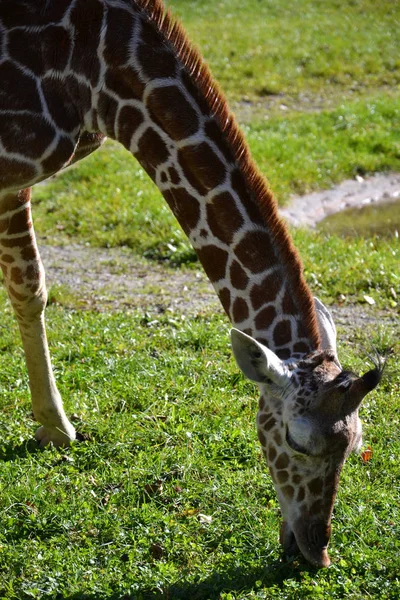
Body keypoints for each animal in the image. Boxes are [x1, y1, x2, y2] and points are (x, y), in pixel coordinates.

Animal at [0, 0, 382, 568]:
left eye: (355, 445)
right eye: (296, 439)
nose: (315, 551)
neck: (100, 79)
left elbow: (31, 284)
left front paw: (53, 427)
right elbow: (25, 282)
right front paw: (53, 425)